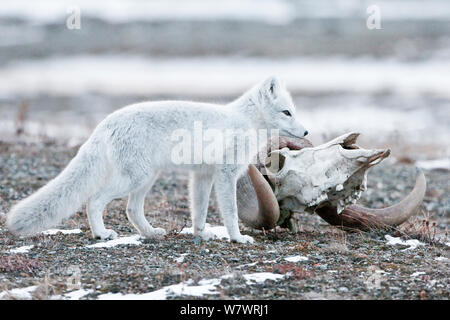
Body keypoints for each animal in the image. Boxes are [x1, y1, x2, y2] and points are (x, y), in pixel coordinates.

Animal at [7, 76, 308, 244]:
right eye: (287, 112)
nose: (306, 132)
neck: (246, 121)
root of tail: (105, 123)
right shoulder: (225, 174)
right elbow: (231, 212)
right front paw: (236, 238)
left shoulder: (202, 175)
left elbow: (199, 211)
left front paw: (201, 234)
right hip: (134, 178)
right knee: (94, 200)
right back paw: (102, 234)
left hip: (146, 179)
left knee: (131, 209)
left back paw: (150, 233)